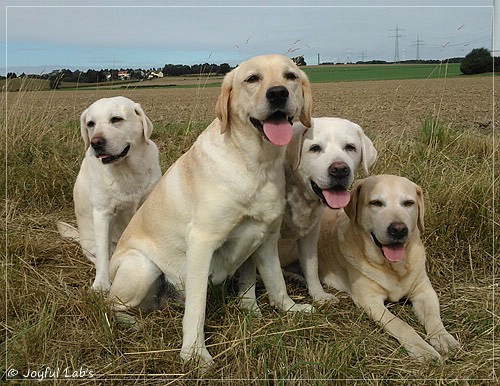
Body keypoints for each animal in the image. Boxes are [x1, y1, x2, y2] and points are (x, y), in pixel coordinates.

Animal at [58, 97, 161, 292]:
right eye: (90, 124)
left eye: (116, 119)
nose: (95, 142)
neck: (127, 171)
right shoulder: (102, 213)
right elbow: (103, 255)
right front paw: (101, 284)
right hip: (90, 243)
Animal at [108, 55, 312, 368]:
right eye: (252, 79)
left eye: (290, 76)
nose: (278, 93)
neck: (256, 164)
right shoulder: (202, 242)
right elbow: (197, 308)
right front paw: (194, 353)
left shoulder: (265, 238)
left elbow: (274, 282)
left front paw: (288, 309)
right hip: (142, 266)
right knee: (111, 304)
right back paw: (132, 323)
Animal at [318, 175, 458, 362]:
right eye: (376, 203)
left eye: (408, 203)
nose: (398, 229)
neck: (394, 267)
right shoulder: (369, 300)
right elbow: (400, 324)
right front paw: (423, 350)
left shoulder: (424, 291)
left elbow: (433, 317)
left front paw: (444, 338)